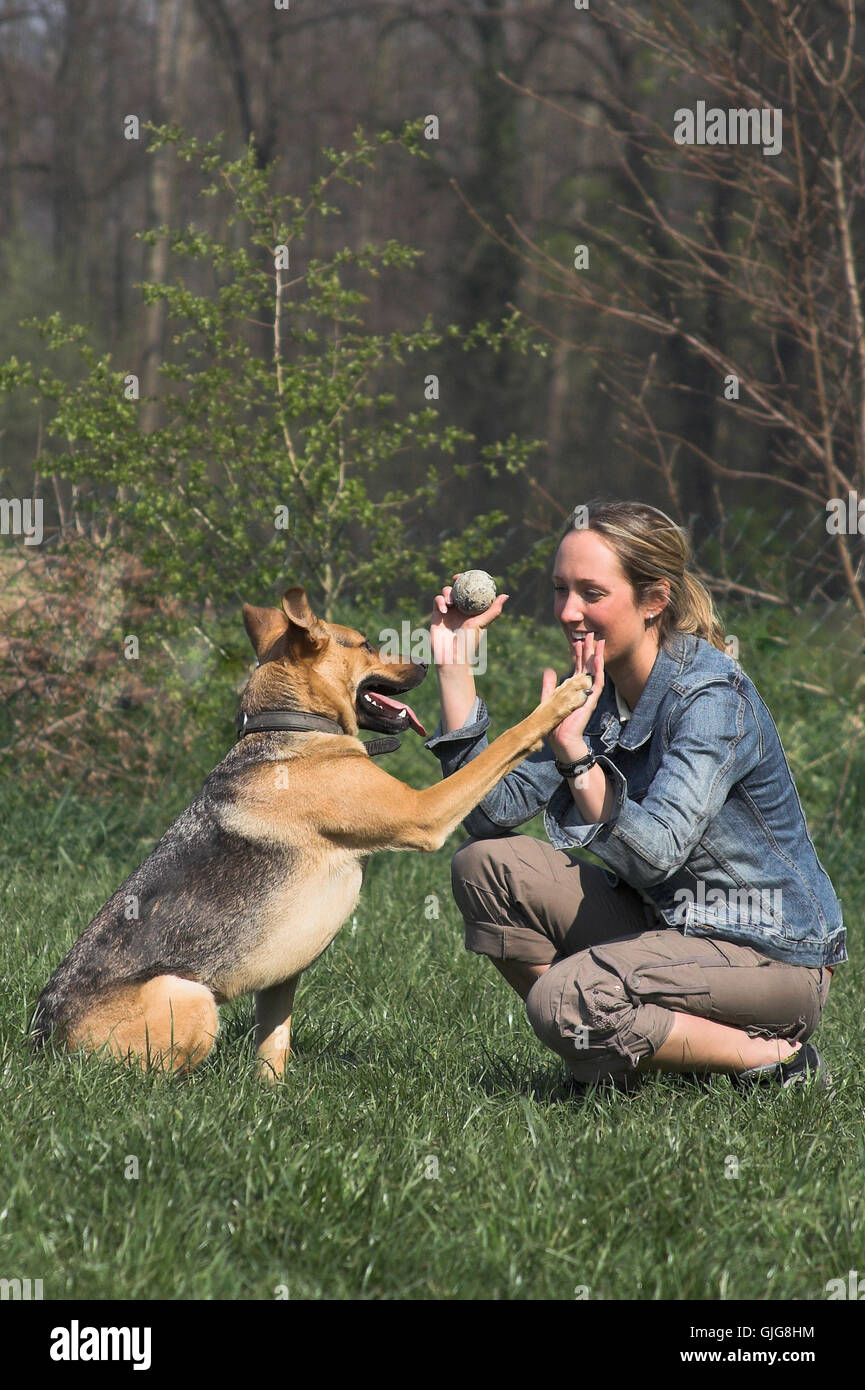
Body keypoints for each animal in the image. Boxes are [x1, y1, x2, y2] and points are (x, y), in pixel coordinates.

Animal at [30, 581, 592, 1078]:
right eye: (366, 644)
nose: (426, 663)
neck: (293, 725)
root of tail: (45, 1043)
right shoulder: (423, 811)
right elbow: (510, 741)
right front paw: (564, 698)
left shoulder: (282, 971)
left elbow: (273, 1046)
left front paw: (270, 1100)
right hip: (190, 997)